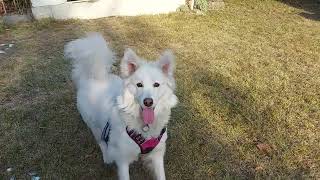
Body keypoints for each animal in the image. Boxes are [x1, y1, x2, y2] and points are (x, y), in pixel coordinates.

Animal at [65, 32, 179, 180]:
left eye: (156, 85)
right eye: (139, 85)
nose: (148, 102)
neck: (143, 128)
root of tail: (92, 76)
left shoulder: (157, 155)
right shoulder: (123, 159)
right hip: (94, 125)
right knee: (101, 141)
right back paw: (107, 156)